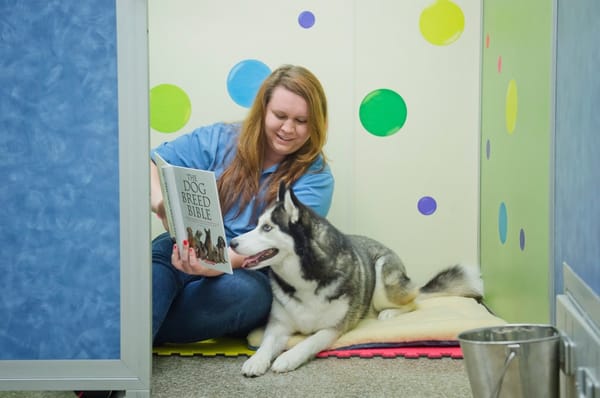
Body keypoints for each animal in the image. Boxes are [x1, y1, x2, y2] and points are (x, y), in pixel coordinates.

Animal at [230, 183, 482, 376]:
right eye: (257, 224)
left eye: (267, 227)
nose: (232, 243)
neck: (306, 279)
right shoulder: (278, 325)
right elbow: (266, 343)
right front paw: (257, 360)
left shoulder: (333, 328)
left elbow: (309, 342)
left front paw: (288, 358)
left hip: (383, 276)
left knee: (413, 302)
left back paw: (389, 313)